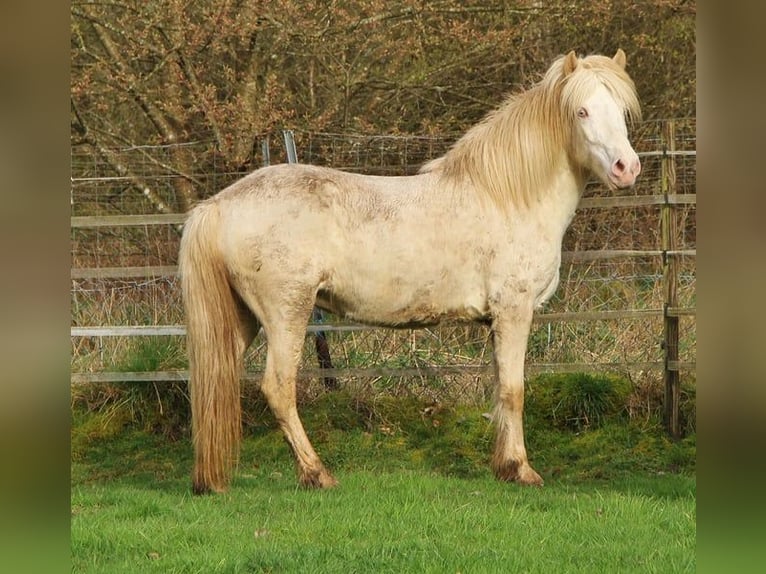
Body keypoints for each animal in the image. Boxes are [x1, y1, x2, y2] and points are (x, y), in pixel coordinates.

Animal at [179, 50, 641, 494]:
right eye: (581, 111)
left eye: (621, 110)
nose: (627, 168)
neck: (506, 197)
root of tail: (217, 205)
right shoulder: (514, 312)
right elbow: (514, 392)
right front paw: (521, 470)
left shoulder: (497, 321)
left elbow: (499, 390)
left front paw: (503, 467)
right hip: (286, 314)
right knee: (278, 388)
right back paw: (317, 474)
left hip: (242, 320)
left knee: (216, 383)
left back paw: (213, 480)